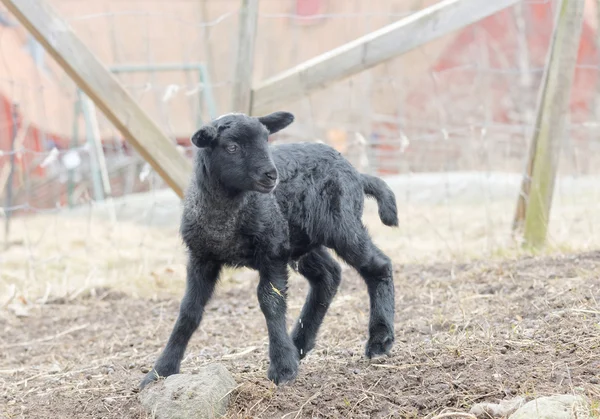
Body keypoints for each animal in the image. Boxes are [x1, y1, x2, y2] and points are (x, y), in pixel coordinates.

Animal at [141, 112, 398, 390]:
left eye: (266, 140)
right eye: (232, 147)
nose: (271, 176)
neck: (226, 217)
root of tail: (356, 174)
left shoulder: (272, 251)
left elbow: (270, 301)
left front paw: (282, 368)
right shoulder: (201, 257)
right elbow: (189, 311)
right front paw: (160, 371)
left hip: (340, 224)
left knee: (378, 265)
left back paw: (379, 340)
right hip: (300, 240)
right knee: (329, 276)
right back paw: (298, 344)